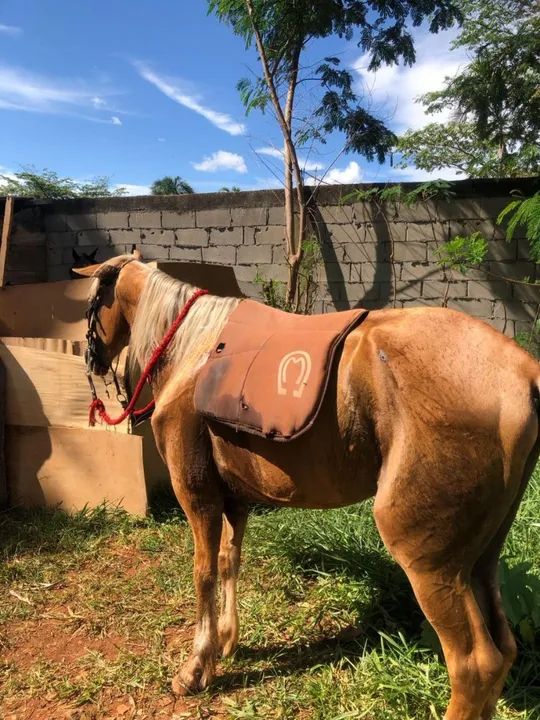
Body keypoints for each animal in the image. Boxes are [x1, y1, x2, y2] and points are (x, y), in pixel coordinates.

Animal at [75, 252, 540, 720]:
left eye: (91, 303)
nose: (92, 360)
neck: (196, 350)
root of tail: (524, 370)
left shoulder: (197, 494)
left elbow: (203, 572)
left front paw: (196, 668)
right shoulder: (234, 500)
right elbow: (229, 561)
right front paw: (227, 641)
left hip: (432, 564)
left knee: (475, 664)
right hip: (480, 557)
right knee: (503, 650)